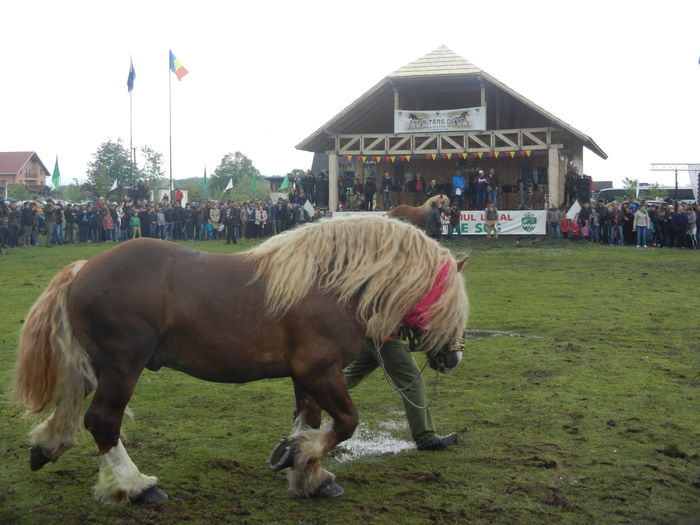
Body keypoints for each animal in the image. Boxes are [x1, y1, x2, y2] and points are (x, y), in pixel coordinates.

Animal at [13, 213, 470, 504]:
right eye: (450, 302)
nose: (453, 358)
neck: (330, 284)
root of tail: (84, 267)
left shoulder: (305, 376)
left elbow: (310, 420)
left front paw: (305, 470)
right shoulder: (321, 371)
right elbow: (345, 423)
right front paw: (300, 458)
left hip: (96, 367)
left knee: (73, 408)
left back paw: (48, 446)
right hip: (122, 367)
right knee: (103, 421)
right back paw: (138, 486)